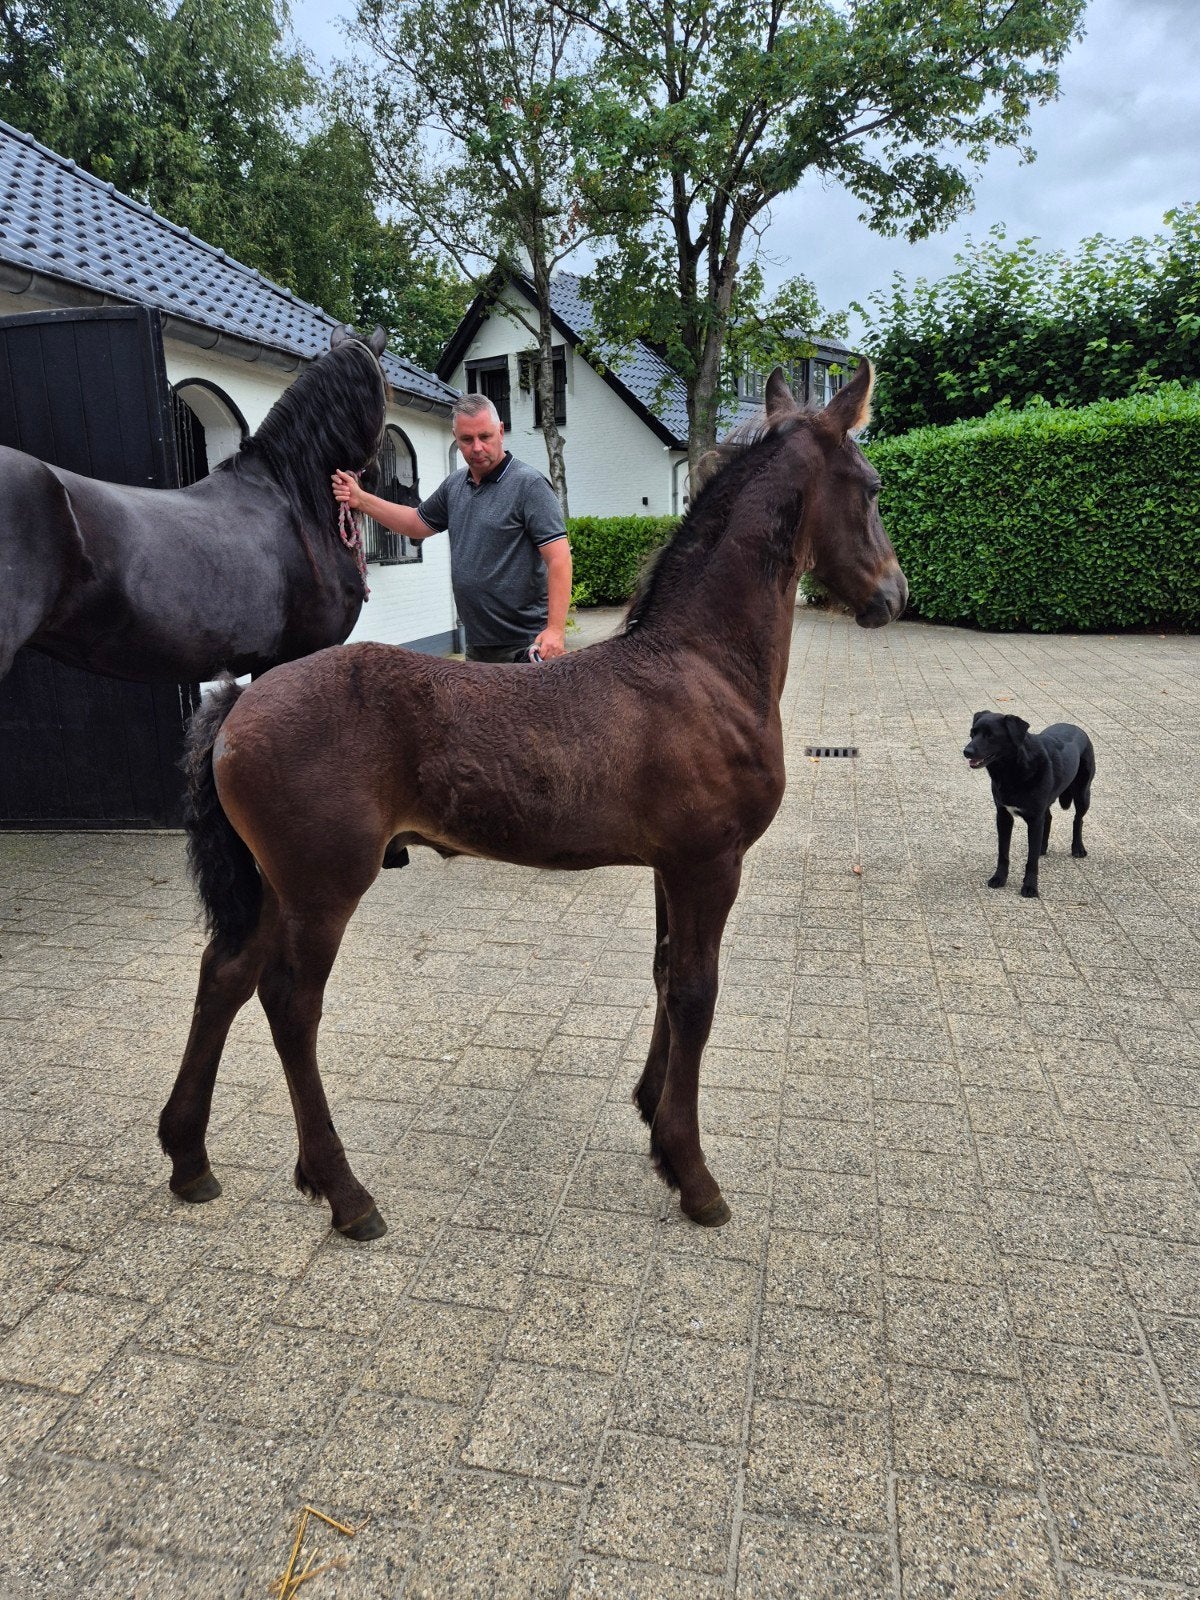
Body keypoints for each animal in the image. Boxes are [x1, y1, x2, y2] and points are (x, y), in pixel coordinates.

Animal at [158, 359, 907, 1239]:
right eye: (872, 486)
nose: (893, 594)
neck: (702, 666)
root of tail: (240, 700)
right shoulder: (710, 863)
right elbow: (697, 993)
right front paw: (692, 1174)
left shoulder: (671, 866)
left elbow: (664, 974)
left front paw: (651, 1113)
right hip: (322, 886)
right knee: (288, 1002)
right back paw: (344, 1193)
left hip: (274, 883)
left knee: (225, 975)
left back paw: (189, 1158)